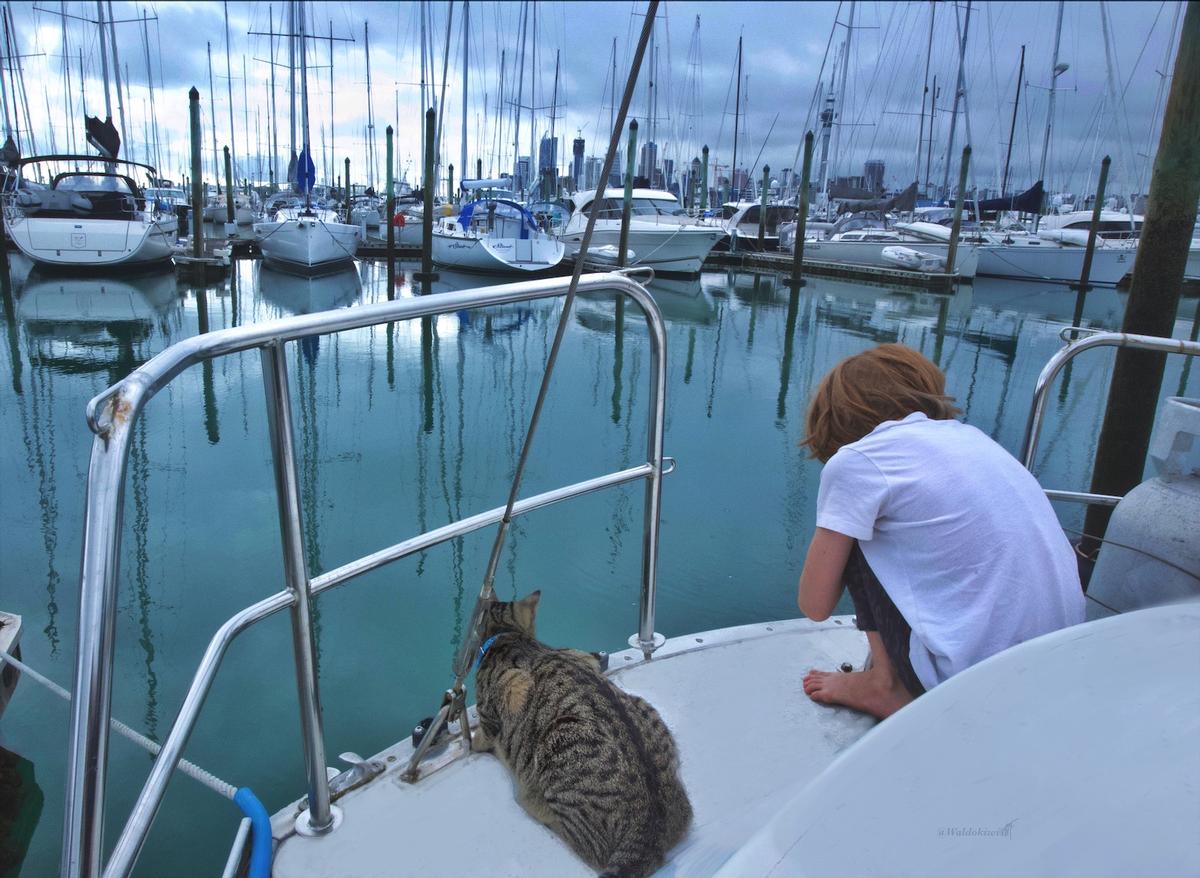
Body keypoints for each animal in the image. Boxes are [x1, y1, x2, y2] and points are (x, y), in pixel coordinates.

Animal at [470, 590, 696, 878]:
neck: (506, 636)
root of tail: (647, 831)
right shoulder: (576, 655)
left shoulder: (503, 695)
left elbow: (484, 732)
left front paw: (473, 742)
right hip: (644, 709)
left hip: (559, 739)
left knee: (586, 845)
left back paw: (534, 803)